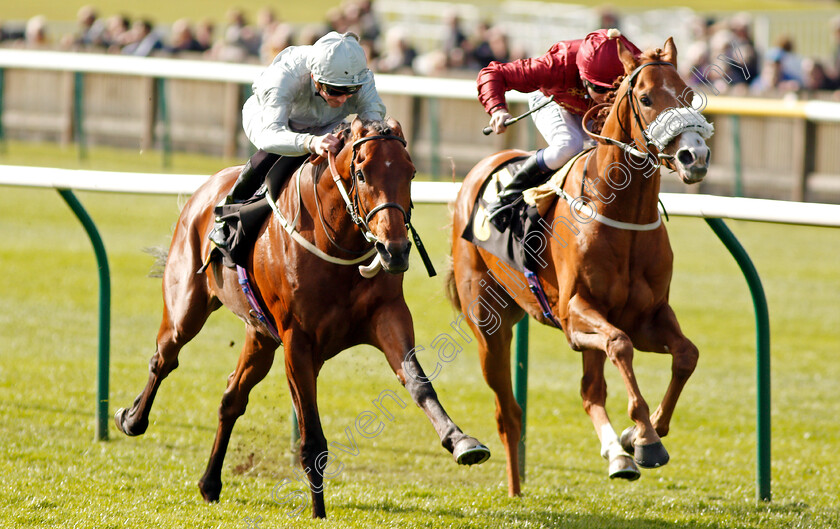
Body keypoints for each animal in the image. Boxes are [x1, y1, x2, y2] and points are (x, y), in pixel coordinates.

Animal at [115, 115, 488, 516]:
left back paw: (210, 483)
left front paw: (461, 441)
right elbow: (311, 435)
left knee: (232, 397)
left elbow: (418, 382)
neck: (338, 246)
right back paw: (131, 419)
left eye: (411, 172)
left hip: (261, 337)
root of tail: (204, 191)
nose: (395, 250)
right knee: (164, 357)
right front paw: (318, 511)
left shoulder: (387, 316)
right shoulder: (298, 341)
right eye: (361, 173)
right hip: (187, 306)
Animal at [450, 38, 712, 496]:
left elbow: (686, 355)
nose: (693, 156)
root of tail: (479, 170)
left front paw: (641, 435)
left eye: (687, 95)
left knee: (590, 390)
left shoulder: (648, 317)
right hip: (487, 324)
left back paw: (617, 455)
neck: (620, 214)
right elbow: (621, 346)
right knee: (508, 412)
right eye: (646, 98)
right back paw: (516, 488)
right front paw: (644, 437)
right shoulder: (575, 315)